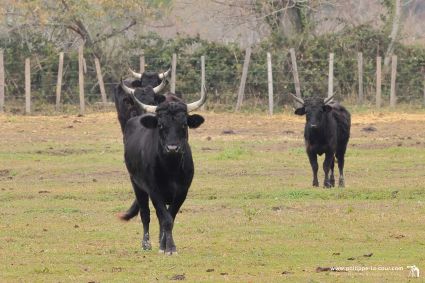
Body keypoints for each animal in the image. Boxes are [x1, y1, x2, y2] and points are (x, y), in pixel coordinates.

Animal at [119, 80, 205, 255]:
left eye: (184, 124)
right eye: (160, 125)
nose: (172, 148)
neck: (171, 168)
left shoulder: (182, 191)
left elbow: (169, 217)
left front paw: (166, 245)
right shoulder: (154, 191)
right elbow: (164, 218)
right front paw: (169, 247)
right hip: (136, 184)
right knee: (145, 214)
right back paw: (146, 244)